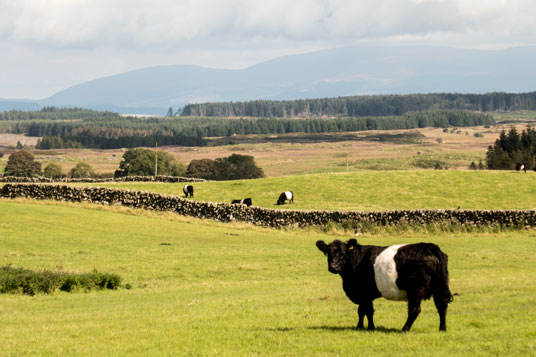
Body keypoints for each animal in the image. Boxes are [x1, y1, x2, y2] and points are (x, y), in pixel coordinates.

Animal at [316, 238, 454, 332]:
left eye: (343, 253)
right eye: (328, 253)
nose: (333, 266)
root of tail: (430, 246)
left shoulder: (363, 293)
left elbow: (365, 310)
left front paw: (368, 327)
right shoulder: (365, 294)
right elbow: (363, 311)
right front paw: (363, 326)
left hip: (416, 290)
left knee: (415, 309)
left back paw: (404, 329)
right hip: (440, 286)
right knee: (442, 306)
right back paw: (442, 329)